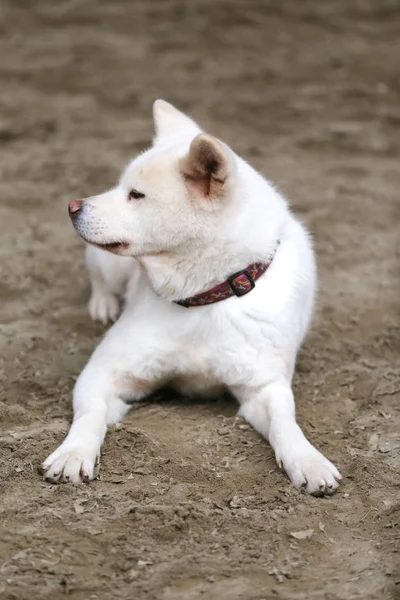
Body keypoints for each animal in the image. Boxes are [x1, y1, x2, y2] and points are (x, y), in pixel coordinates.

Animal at [43, 101, 340, 494]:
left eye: (136, 195)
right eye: (121, 186)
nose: (72, 206)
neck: (205, 297)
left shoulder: (263, 387)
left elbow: (285, 424)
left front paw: (308, 460)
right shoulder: (103, 372)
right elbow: (89, 417)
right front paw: (73, 453)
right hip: (111, 264)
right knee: (97, 274)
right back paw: (102, 304)